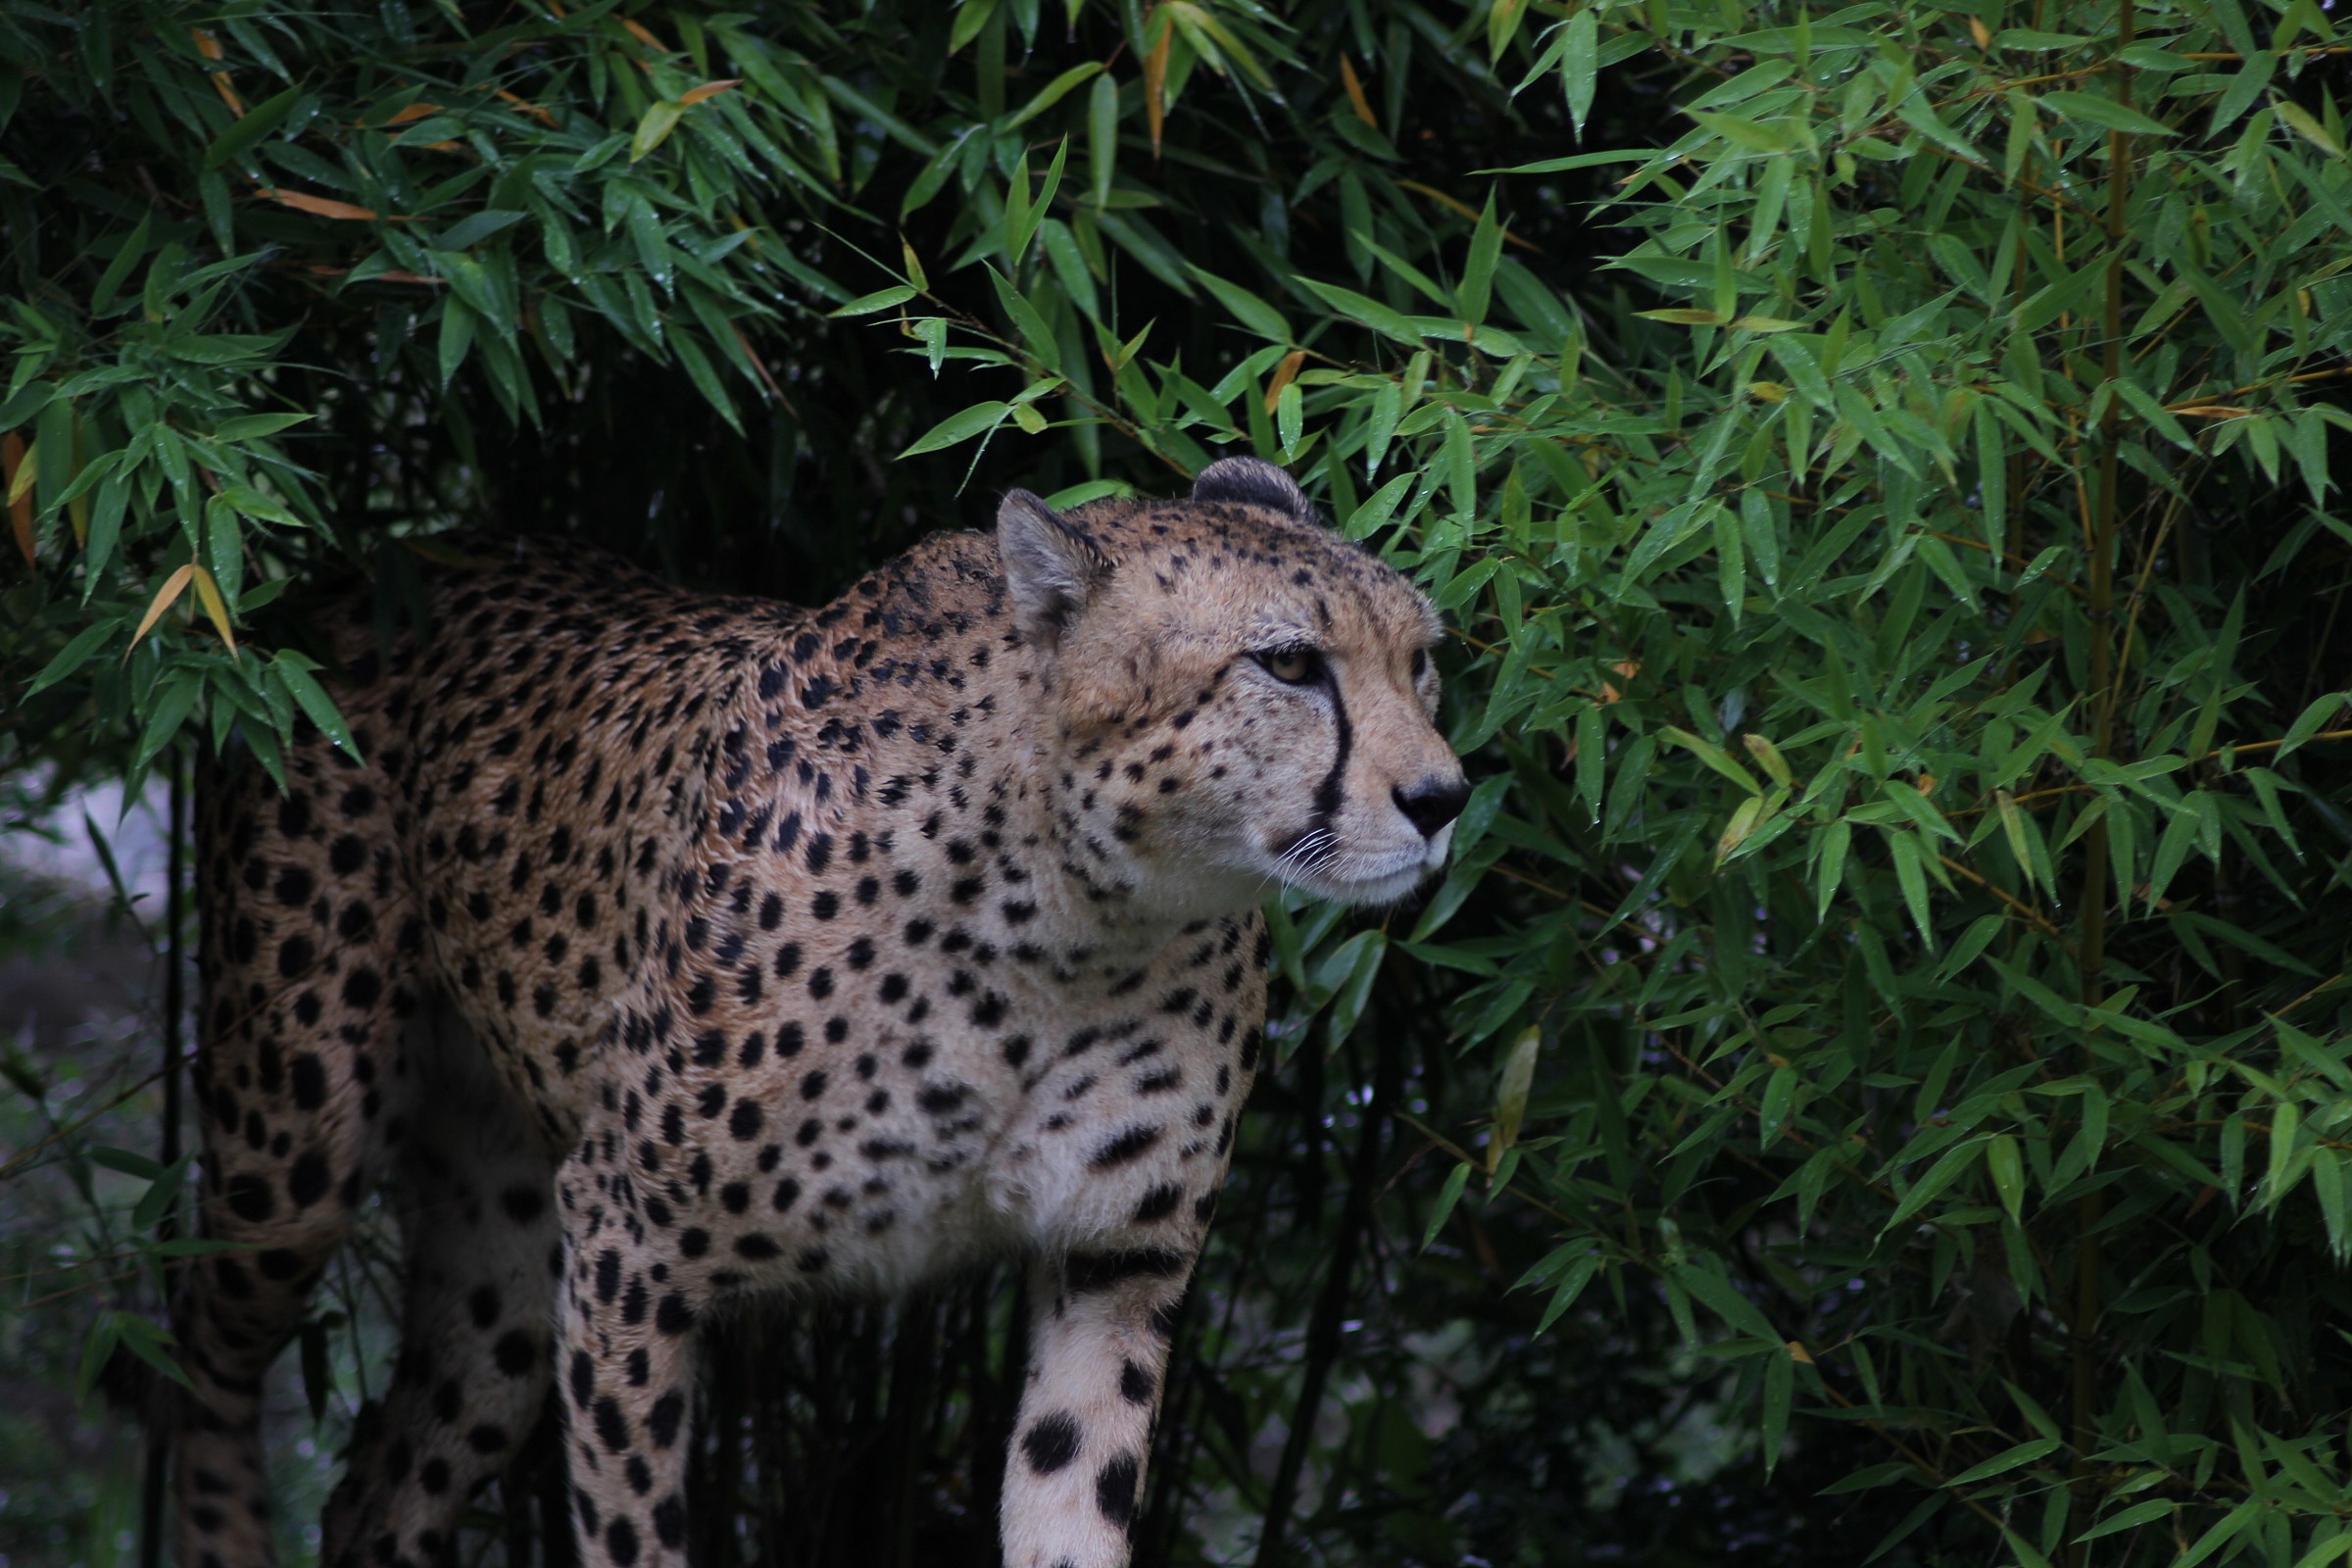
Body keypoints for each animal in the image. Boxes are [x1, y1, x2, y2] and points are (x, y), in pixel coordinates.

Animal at [170, 456, 1469, 1568]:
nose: (1444, 796)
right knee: (196, 1354)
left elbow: (1072, 1508)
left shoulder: (1114, 1265)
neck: (1079, 923)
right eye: (1289, 664)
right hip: (298, 1147)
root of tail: (391, 557)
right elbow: (634, 1527)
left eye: (1422, 659)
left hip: (507, 1271)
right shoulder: (629, 1238)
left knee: (374, 1489)